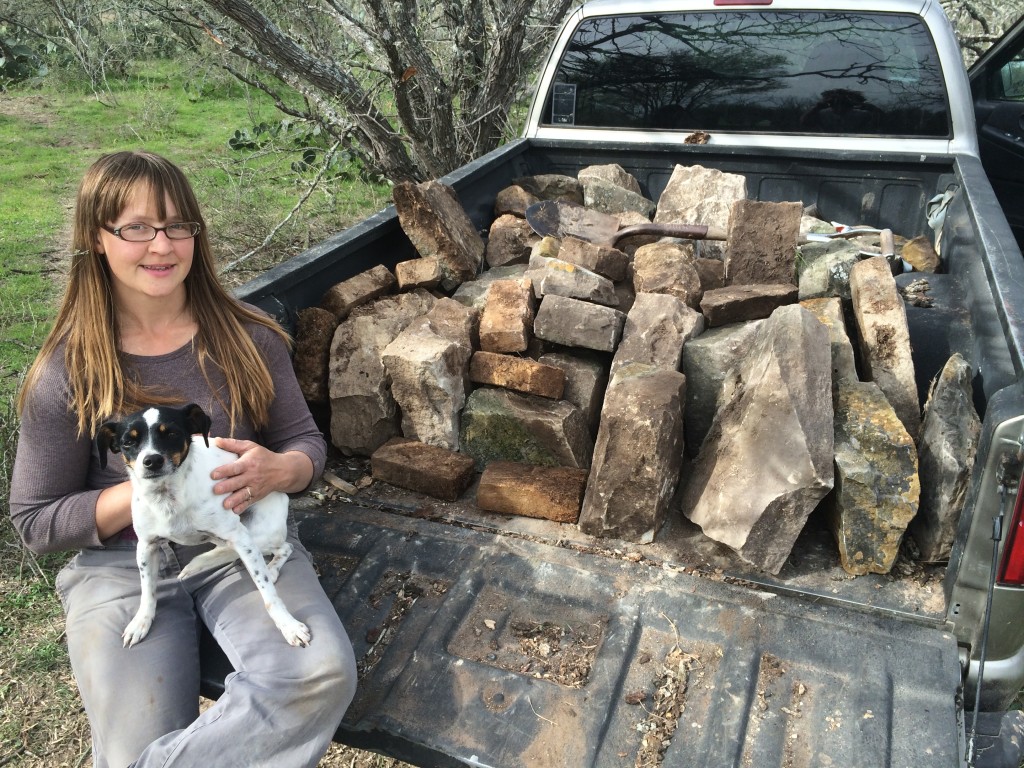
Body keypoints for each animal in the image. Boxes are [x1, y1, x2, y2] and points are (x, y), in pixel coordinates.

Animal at [97, 403, 309, 651]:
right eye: (128, 442)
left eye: (172, 433)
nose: (152, 460)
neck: (168, 497)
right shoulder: (147, 546)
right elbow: (147, 590)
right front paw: (141, 622)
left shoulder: (241, 539)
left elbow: (268, 593)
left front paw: (289, 626)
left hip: (257, 535)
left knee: (285, 548)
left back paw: (271, 569)